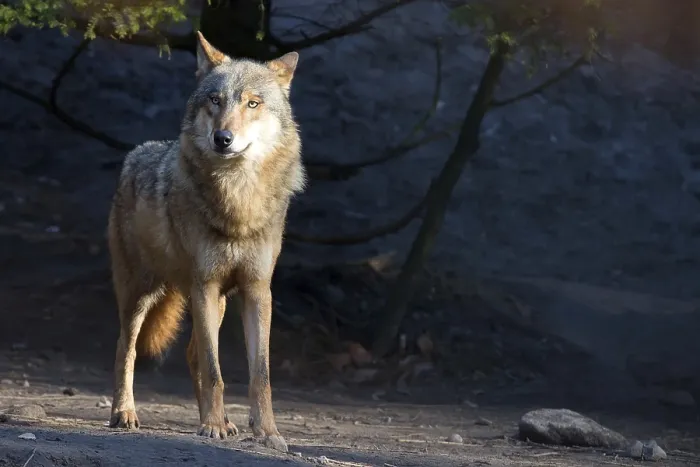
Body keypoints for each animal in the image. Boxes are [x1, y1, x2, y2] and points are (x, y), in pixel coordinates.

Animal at [106, 31, 305, 452]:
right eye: (215, 100)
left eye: (252, 103)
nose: (223, 138)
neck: (238, 200)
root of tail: (138, 152)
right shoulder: (206, 284)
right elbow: (216, 371)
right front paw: (212, 426)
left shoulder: (256, 290)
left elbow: (260, 376)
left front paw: (267, 433)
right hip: (142, 294)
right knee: (125, 349)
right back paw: (125, 413)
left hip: (215, 301)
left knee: (193, 354)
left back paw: (223, 423)